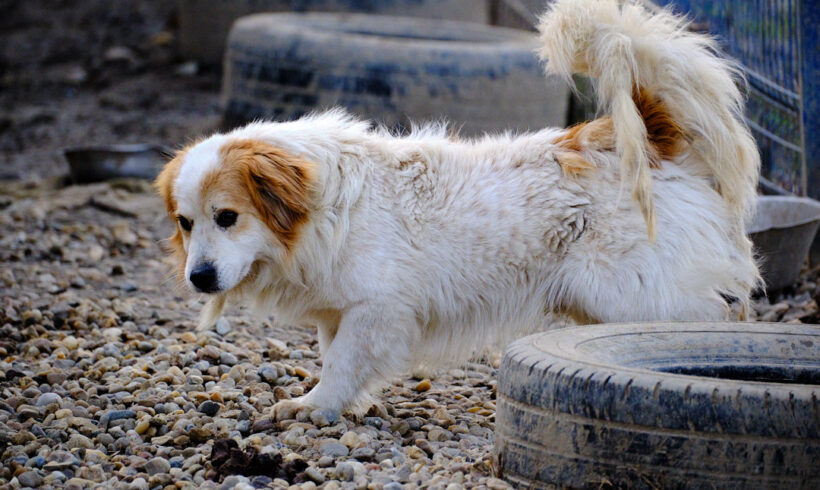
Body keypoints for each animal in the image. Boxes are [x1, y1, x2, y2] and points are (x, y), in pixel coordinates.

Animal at [157, 0, 760, 416]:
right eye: (186, 223)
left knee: (709, 319)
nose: (198, 278)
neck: (329, 208)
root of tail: (641, 137)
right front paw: (346, 404)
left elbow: (342, 361)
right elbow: (339, 359)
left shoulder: (377, 309)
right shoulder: (343, 310)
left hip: (633, 294)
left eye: (228, 217)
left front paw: (315, 407)